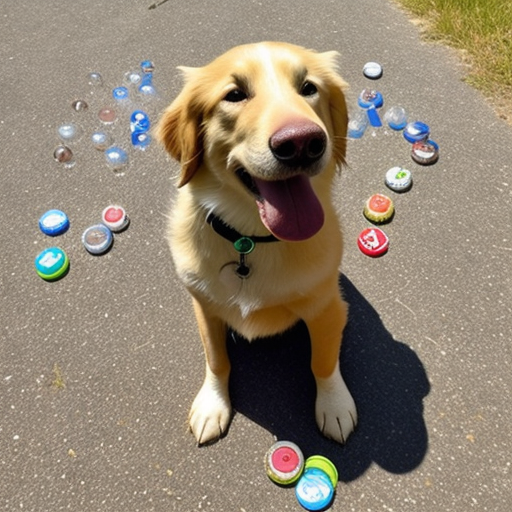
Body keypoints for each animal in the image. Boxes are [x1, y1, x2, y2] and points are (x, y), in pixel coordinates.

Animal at [155, 41, 356, 444]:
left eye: (308, 88)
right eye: (235, 95)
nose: (301, 142)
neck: (251, 241)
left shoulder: (328, 308)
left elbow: (324, 361)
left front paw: (334, 405)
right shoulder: (205, 308)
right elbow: (217, 360)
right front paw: (213, 404)